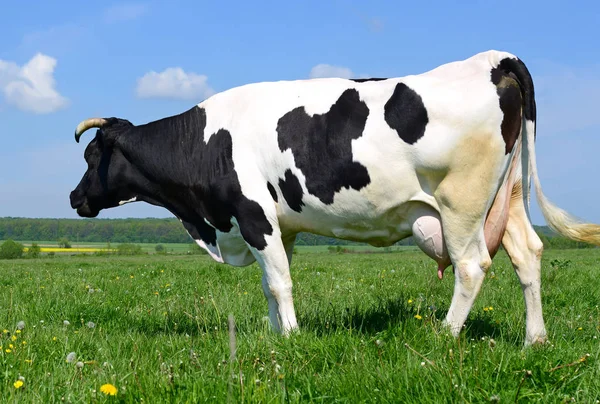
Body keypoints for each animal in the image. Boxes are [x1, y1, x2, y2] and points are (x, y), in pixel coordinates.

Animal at [69, 50, 600, 346]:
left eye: (93, 154)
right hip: (505, 197)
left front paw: (292, 338)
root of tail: (492, 58)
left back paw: (445, 336)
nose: (75, 198)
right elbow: (270, 284)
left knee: (472, 267)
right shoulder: (276, 225)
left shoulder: (253, 215)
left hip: (461, 202)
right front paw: (275, 334)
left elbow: (280, 283)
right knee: (528, 254)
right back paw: (535, 340)